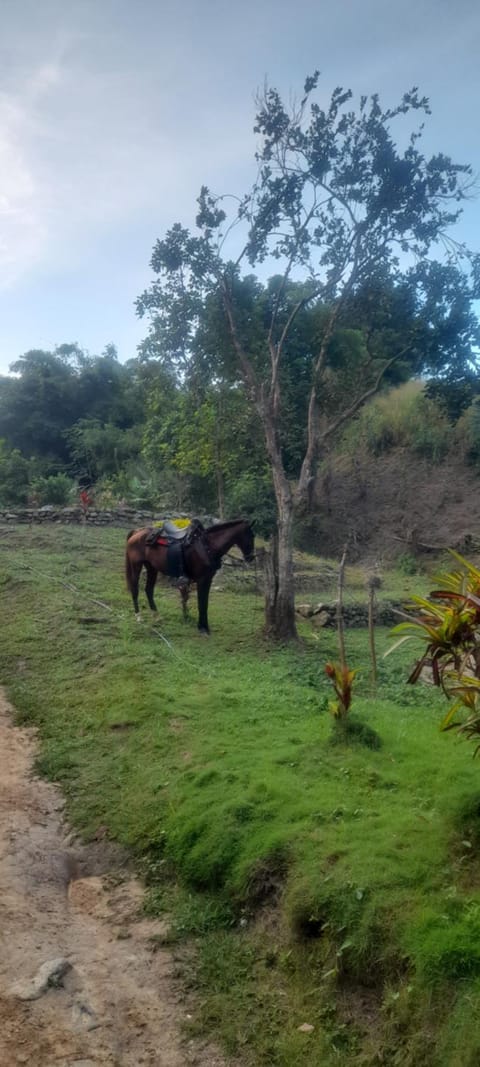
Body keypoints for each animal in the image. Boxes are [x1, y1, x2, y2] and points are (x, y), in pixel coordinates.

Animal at [125, 516, 257, 631]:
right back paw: (139, 617)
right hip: (136, 566)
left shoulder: (208, 579)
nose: (251, 557)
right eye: (252, 535)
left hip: (152, 568)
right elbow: (201, 603)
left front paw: (203, 626)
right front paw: (202, 628)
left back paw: (157, 617)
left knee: (149, 590)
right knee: (135, 589)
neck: (206, 546)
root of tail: (137, 532)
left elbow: (204, 603)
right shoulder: (202, 579)